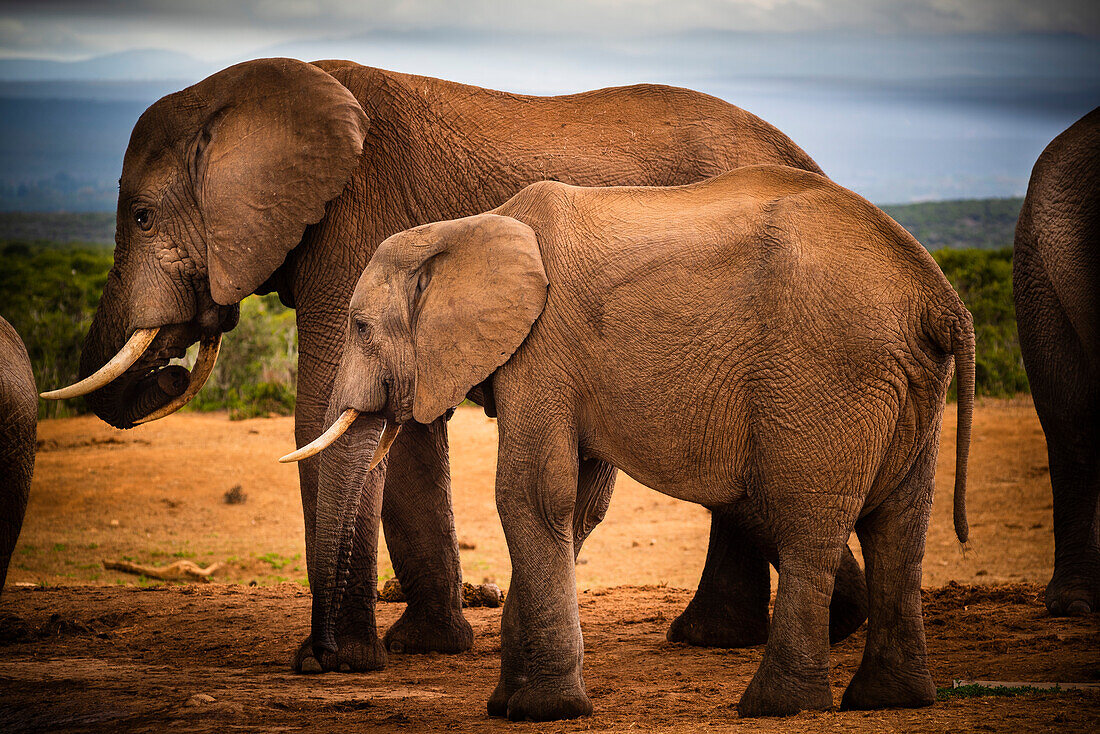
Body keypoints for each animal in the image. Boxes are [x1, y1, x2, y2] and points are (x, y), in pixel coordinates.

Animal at [40, 60, 866, 673]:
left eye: (141, 216)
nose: (174, 368)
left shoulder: (359, 221)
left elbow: (330, 413)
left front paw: (336, 663)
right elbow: (398, 432)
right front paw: (424, 649)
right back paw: (768, 631)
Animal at [290, 165, 972, 717]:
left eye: (359, 326)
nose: (321, 660)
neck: (467, 229)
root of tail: (939, 297)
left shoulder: (545, 348)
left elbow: (531, 495)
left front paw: (541, 711)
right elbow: (578, 505)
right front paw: (510, 702)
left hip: (827, 374)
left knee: (809, 522)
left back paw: (777, 707)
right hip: (910, 381)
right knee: (901, 522)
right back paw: (891, 700)